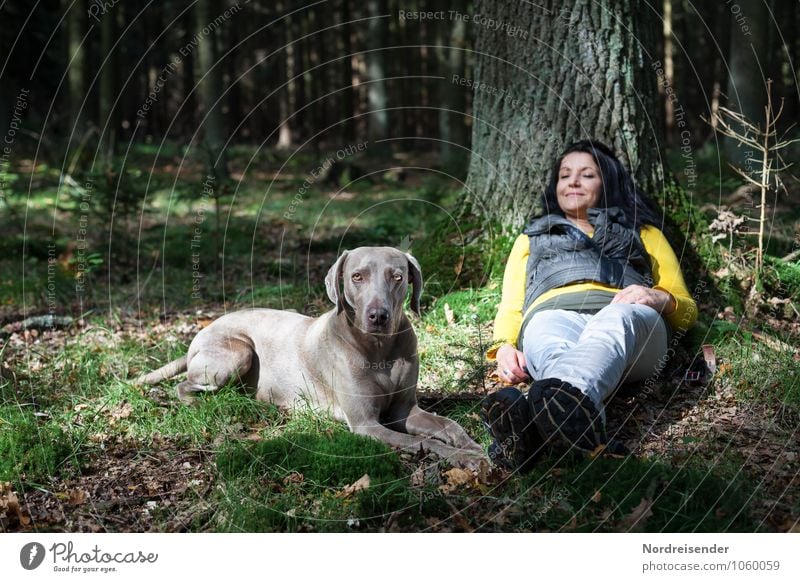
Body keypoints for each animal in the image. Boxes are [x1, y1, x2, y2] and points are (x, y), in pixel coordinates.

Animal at [136, 246, 488, 470]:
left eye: (397, 277)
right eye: (357, 276)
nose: (378, 316)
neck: (379, 349)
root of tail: (200, 333)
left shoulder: (405, 410)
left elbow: (448, 424)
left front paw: (472, 446)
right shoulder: (366, 425)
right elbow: (423, 443)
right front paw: (463, 457)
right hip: (238, 352)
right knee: (183, 387)